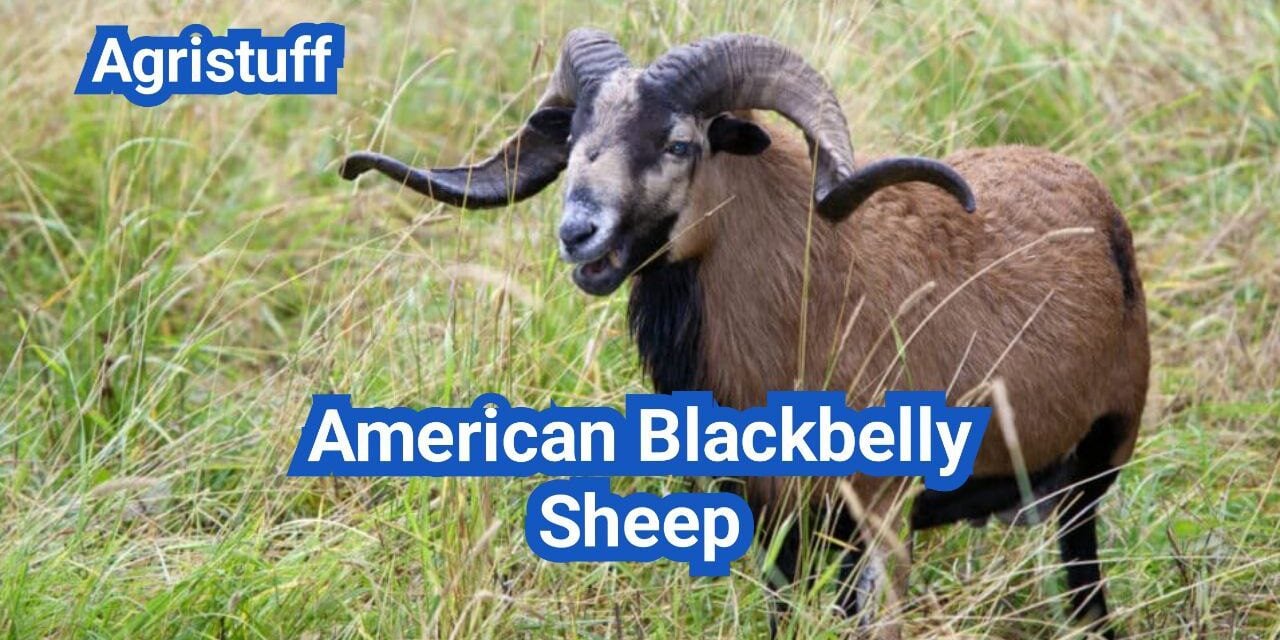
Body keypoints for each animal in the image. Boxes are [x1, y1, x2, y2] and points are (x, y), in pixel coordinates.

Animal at [340, 29, 1149, 639]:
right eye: (573, 137)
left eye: (679, 144)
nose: (578, 233)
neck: (813, 296)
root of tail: (1095, 200)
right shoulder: (776, 523)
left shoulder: (883, 515)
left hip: (1090, 476)